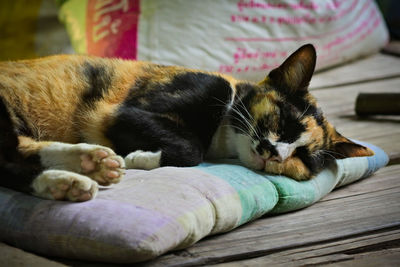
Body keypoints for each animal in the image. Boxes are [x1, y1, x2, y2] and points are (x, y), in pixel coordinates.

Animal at [0, 44, 376, 203]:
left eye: (304, 157)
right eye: (283, 119)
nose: (274, 151)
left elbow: (192, 149)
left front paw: (139, 157)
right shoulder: (121, 112)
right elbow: (192, 147)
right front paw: (140, 158)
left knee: (15, 155)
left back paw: (82, 170)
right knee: (8, 155)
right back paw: (78, 173)